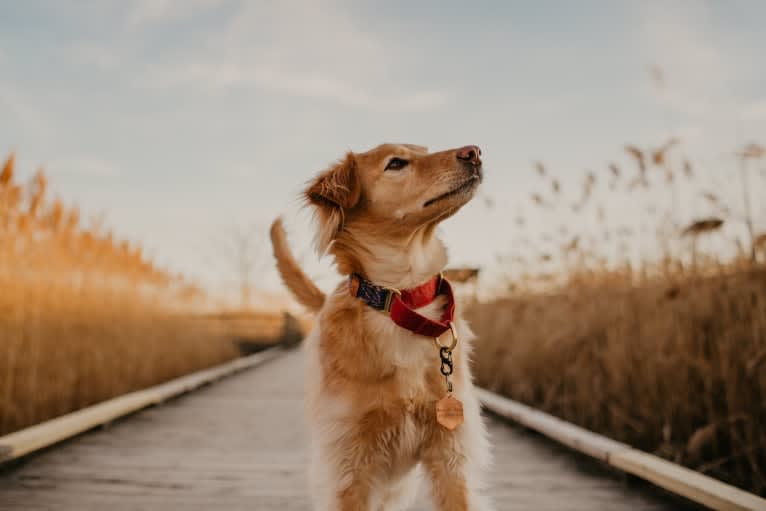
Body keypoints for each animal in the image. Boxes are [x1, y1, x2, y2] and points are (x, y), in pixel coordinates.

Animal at [272, 142, 496, 510]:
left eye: (425, 150)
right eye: (396, 163)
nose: (474, 152)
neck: (400, 301)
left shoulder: (451, 456)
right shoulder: (348, 465)